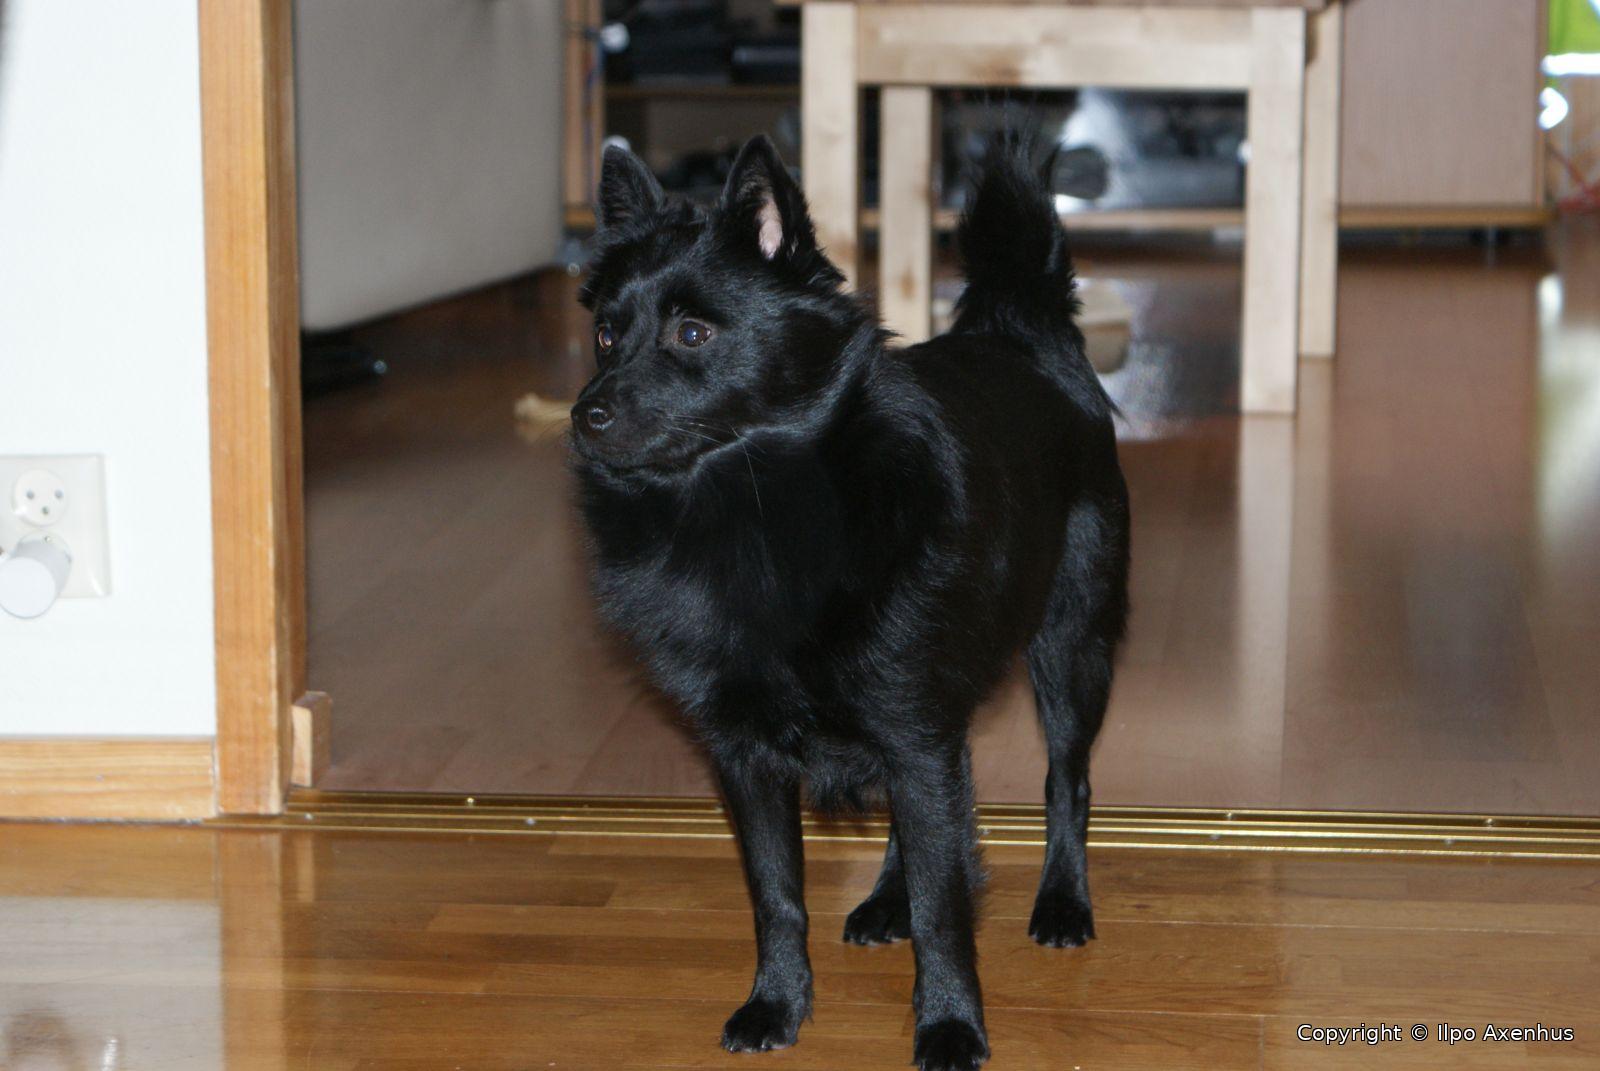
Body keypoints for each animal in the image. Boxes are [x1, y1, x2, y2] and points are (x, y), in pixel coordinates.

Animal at [569, 133, 1129, 1071]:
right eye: (606, 333)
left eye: (693, 332)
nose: (585, 415)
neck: (749, 509)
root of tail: (1022, 334)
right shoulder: (755, 756)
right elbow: (777, 893)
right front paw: (777, 1003)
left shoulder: (915, 724)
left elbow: (947, 906)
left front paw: (950, 1024)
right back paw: (883, 900)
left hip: (1072, 648)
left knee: (1068, 779)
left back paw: (1061, 901)